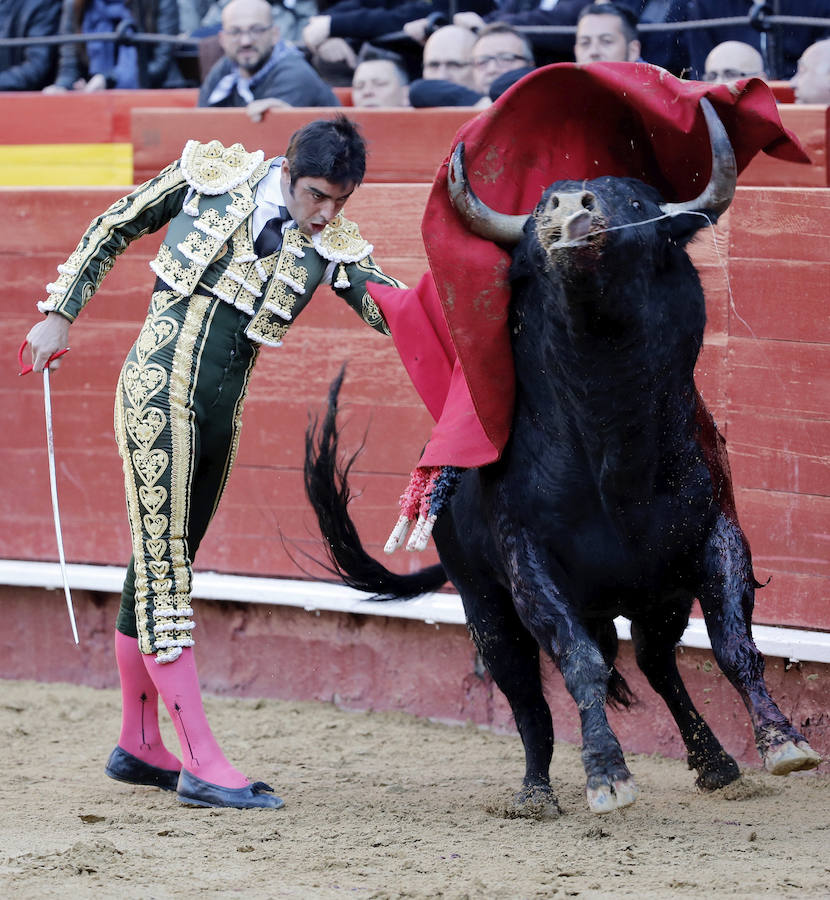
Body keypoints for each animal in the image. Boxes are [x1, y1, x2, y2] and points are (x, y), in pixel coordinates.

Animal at [304, 100, 820, 816]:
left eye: (636, 201)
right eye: (538, 210)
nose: (569, 210)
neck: (613, 442)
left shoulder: (716, 536)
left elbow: (733, 644)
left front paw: (783, 743)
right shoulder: (529, 567)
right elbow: (577, 663)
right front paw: (607, 774)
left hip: (651, 593)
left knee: (655, 663)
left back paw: (715, 763)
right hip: (486, 605)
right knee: (528, 696)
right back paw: (536, 792)